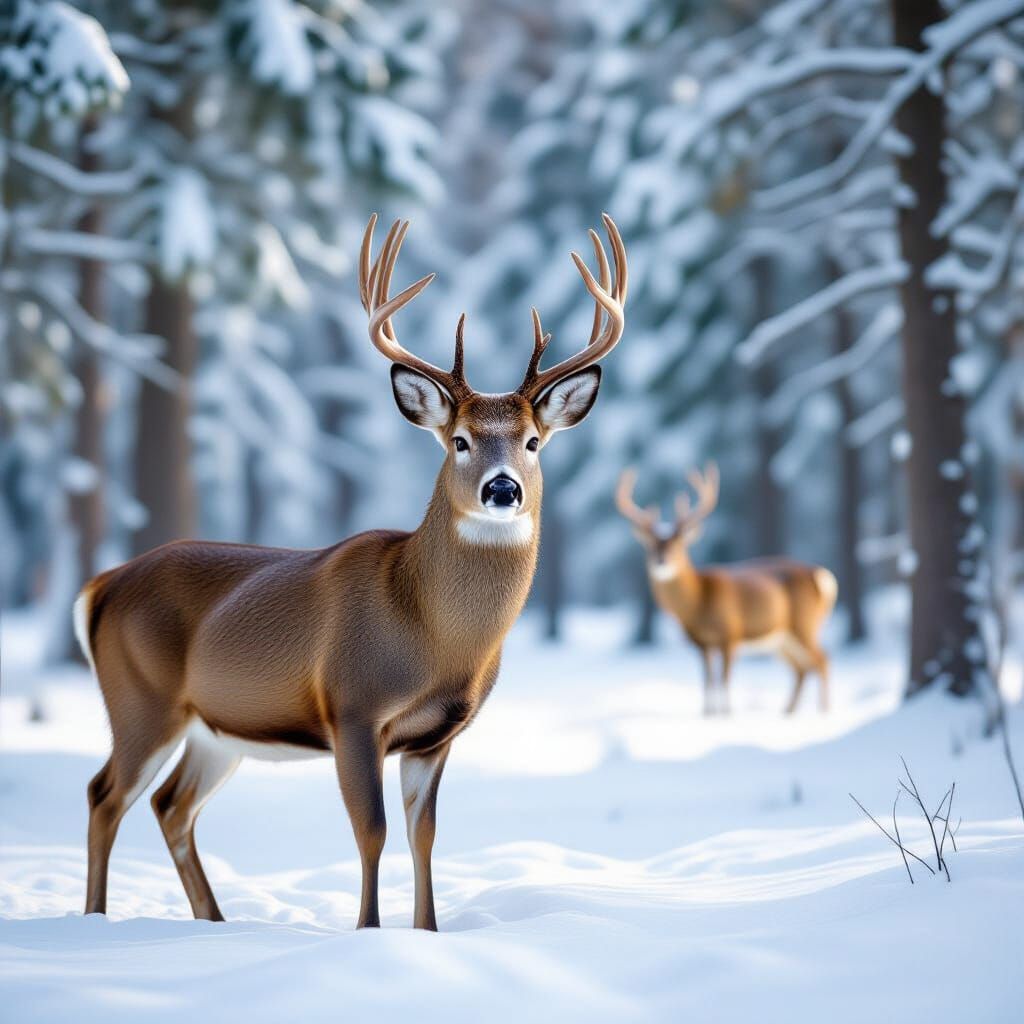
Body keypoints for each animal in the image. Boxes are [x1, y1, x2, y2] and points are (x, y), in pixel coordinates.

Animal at [74, 214, 627, 931]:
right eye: (459, 441)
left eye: (533, 442)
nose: (502, 488)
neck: (433, 638)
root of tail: (103, 584)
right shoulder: (353, 708)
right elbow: (372, 830)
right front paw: (368, 930)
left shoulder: (435, 736)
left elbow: (425, 835)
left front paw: (428, 930)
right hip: (141, 697)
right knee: (104, 793)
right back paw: (95, 919)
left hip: (215, 727)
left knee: (171, 804)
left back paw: (213, 921)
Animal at [616, 464, 836, 716]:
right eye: (650, 546)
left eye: (679, 545)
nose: (661, 561)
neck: (698, 603)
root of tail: (823, 577)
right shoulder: (701, 643)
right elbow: (708, 681)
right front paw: (708, 713)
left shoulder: (731, 634)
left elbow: (724, 680)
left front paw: (726, 714)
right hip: (782, 639)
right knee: (802, 669)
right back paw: (788, 712)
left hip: (805, 624)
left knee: (822, 660)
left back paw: (823, 711)